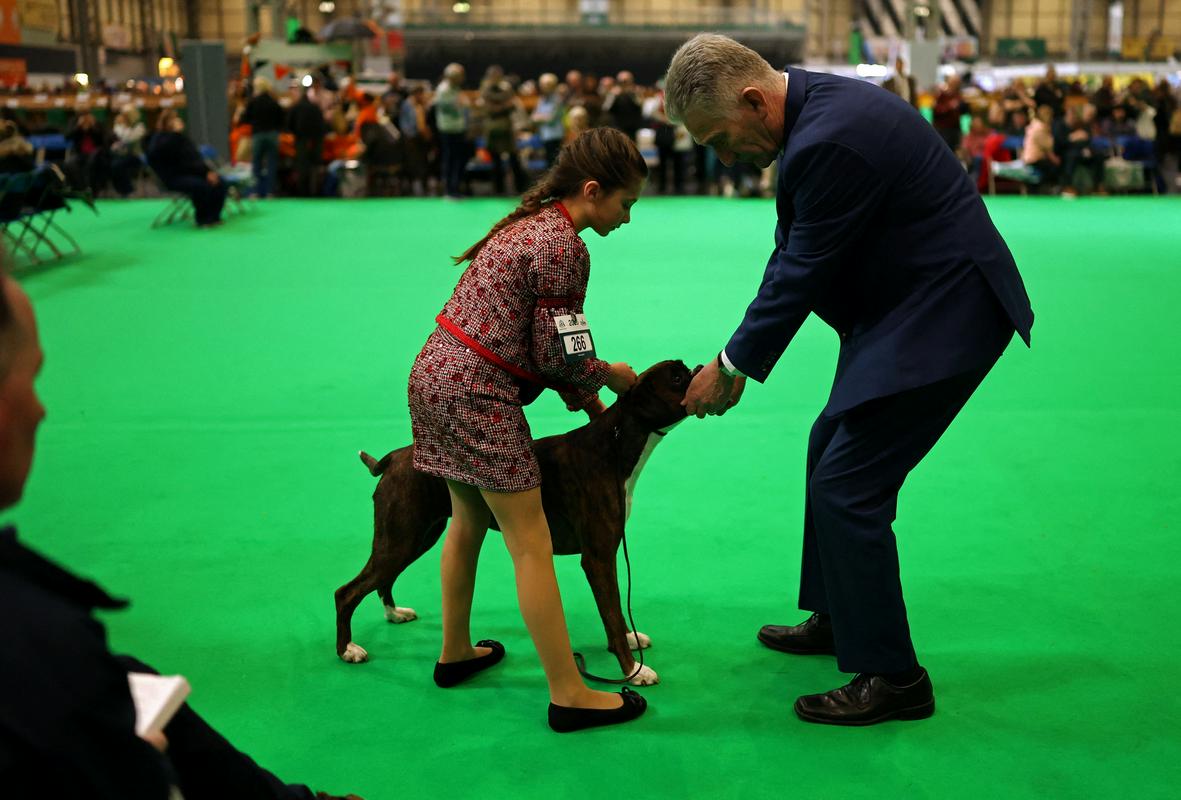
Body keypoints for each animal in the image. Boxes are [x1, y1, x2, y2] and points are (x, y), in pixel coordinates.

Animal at [333, 359, 697, 685]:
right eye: (677, 377)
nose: (696, 369)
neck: (616, 442)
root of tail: (394, 458)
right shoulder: (597, 558)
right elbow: (611, 612)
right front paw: (633, 670)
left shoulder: (607, 554)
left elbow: (617, 610)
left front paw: (631, 641)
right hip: (401, 538)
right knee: (346, 592)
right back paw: (348, 649)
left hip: (417, 537)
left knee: (383, 579)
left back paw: (394, 614)